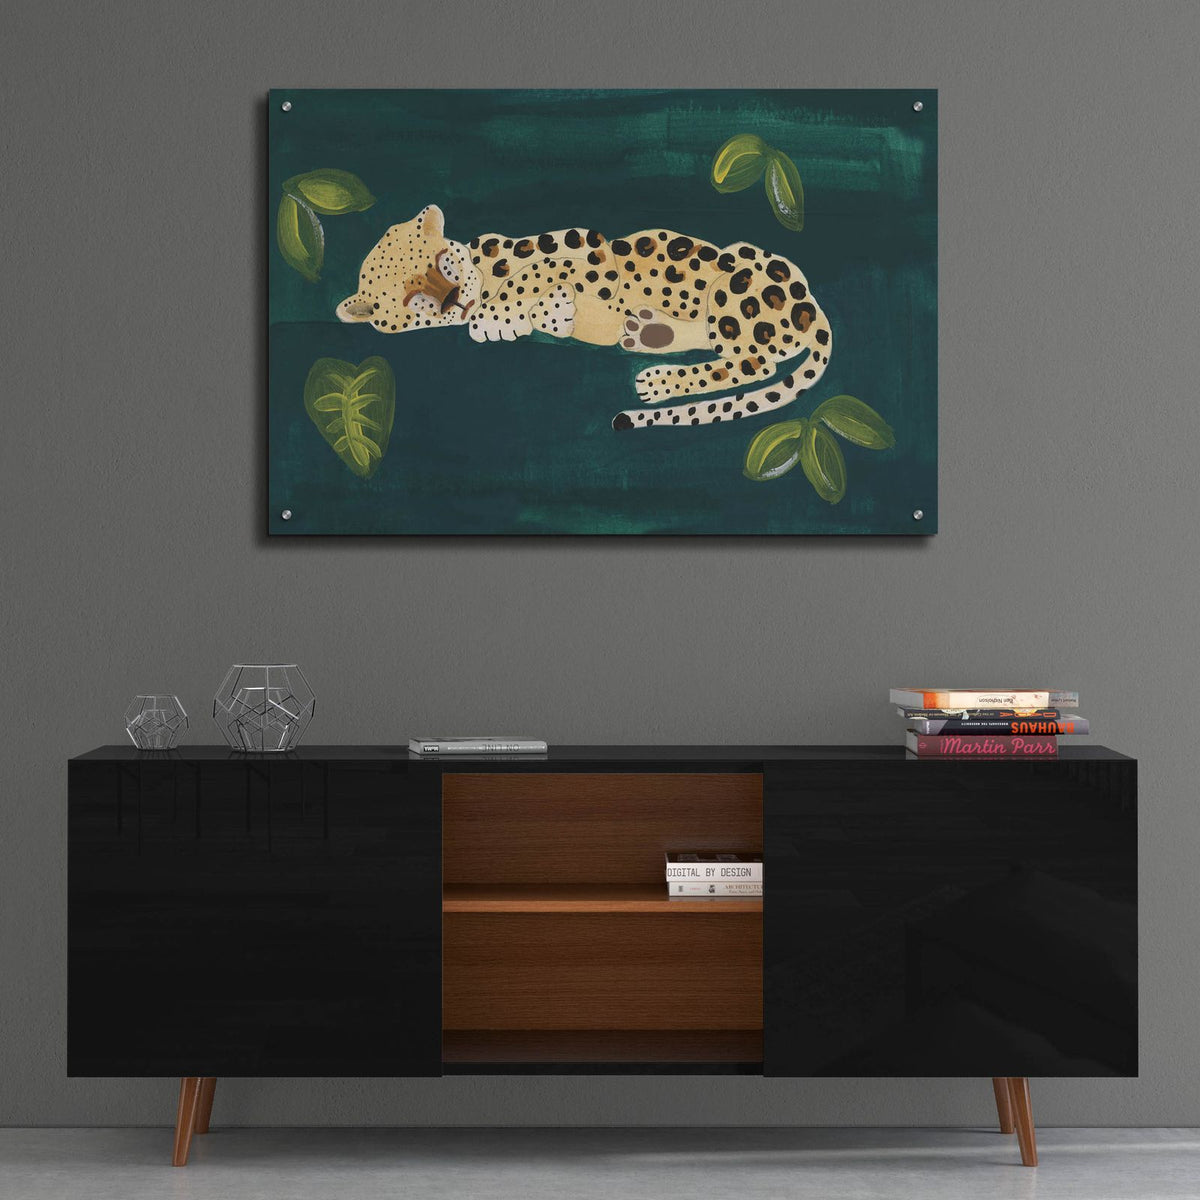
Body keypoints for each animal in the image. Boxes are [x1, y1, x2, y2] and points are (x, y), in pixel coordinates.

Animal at [336, 204, 832, 430]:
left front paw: (501, 315)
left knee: (752, 363)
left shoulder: (590, 251)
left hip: (737, 279)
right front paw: (547, 314)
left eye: (443, 264)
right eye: (413, 302)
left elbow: (536, 271)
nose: (456, 300)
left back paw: (658, 380)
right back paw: (648, 332)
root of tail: (811, 307)